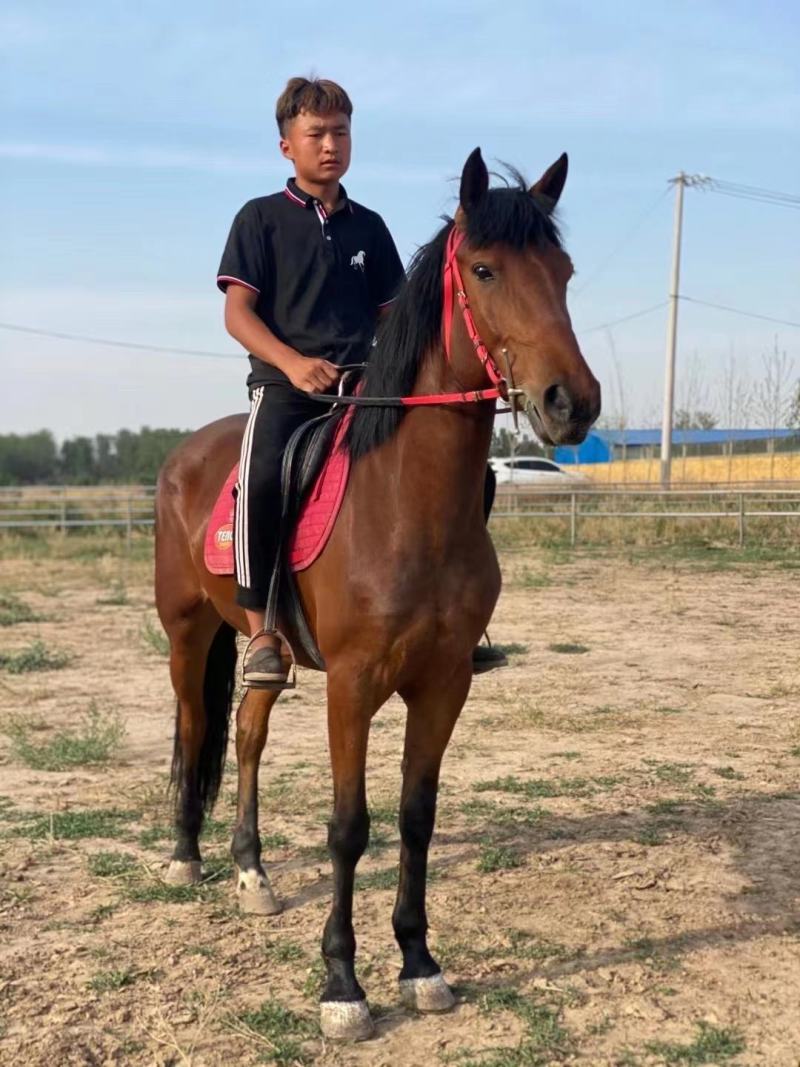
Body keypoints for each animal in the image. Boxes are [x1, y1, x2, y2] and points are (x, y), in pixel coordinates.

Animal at [154, 147, 601, 1041]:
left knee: (246, 733)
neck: (405, 500)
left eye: (564, 272)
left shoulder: (445, 681)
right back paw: (186, 855)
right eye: (484, 269)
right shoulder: (354, 684)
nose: (573, 402)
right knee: (193, 726)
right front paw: (342, 984)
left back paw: (251, 872)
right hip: (186, 632)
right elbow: (349, 827)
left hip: (268, 647)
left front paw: (420, 962)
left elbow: (415, 818)